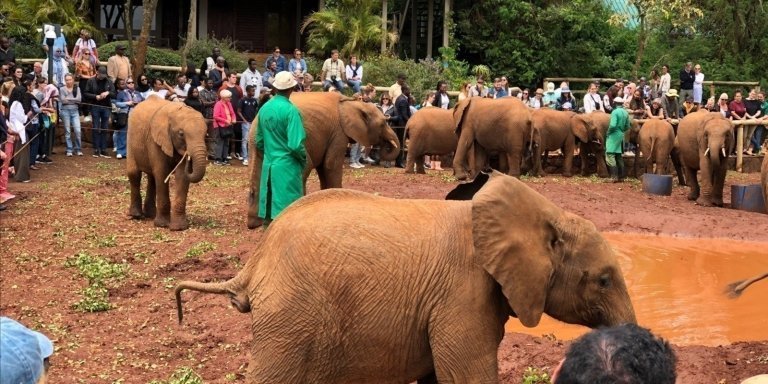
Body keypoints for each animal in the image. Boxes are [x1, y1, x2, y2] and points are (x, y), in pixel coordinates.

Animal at [127, 96, 208, 231]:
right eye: (181, 134)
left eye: (206, 135)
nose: (189, 156)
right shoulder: (156, 140)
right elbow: (162, 172)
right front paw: (162, 225)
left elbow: (182, 176)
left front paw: (179, 228)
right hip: (130, 138)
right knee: (134, 174)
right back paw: (136, 216)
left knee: (152, 178)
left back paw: (151, 215)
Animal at [248, 92, 402, 228]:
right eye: (383, 124)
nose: (384, 147)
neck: (353, 102)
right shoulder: (339, 132)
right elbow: (330, 165)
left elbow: (323, 167)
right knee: (303, 168)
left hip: (257, 141)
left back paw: (257, 222)